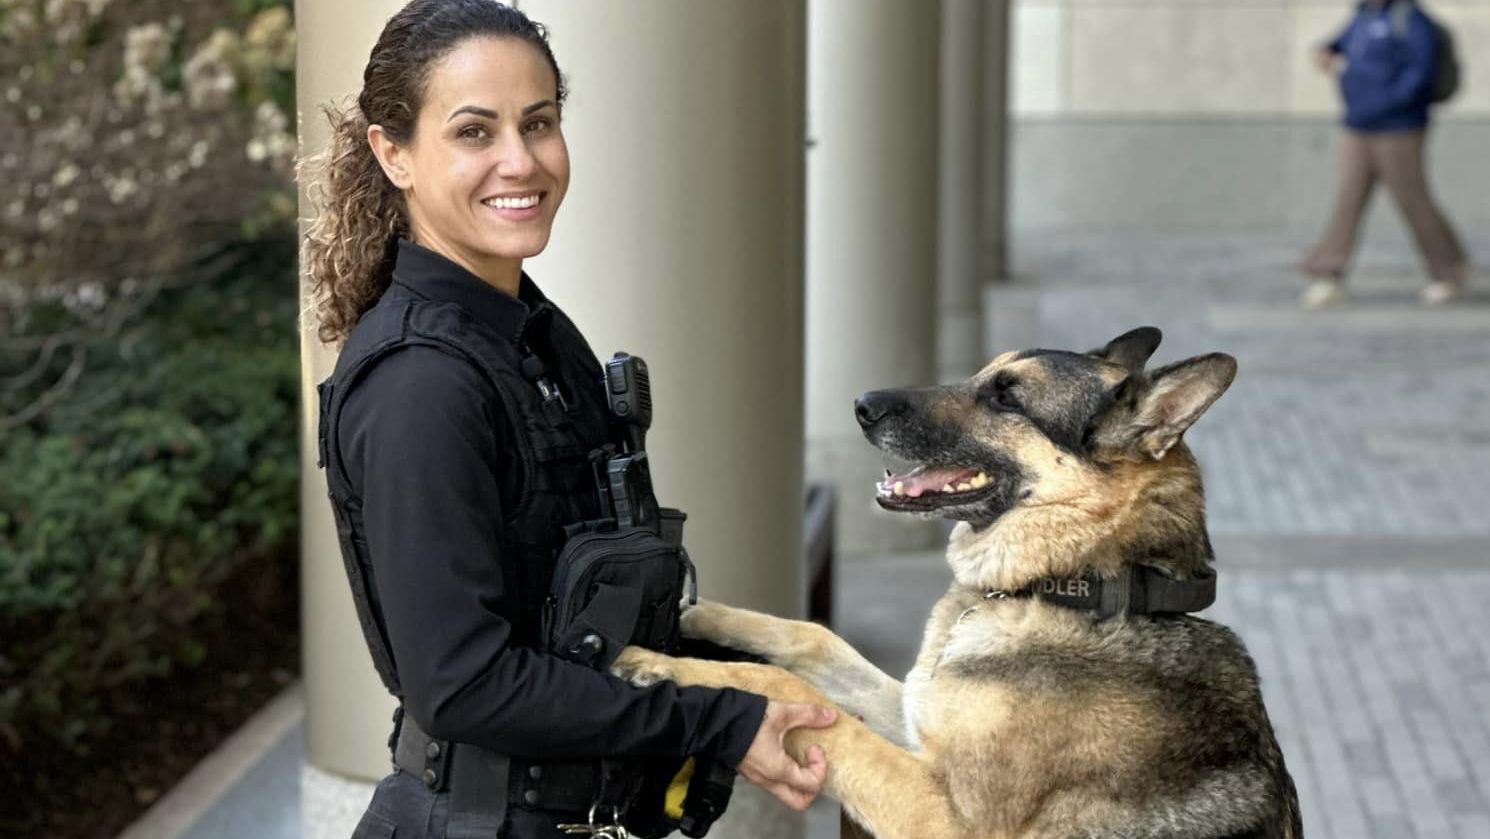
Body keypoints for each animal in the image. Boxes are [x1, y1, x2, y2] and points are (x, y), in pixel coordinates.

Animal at [610, 327, 1299, 839]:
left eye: (1008, 398)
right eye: (979, 377)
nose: (861, 404)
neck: (1075, 583)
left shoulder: (940, 816)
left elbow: (793, 692)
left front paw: (658, 665)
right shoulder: (912, 710)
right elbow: (811, 637)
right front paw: (698, 612)